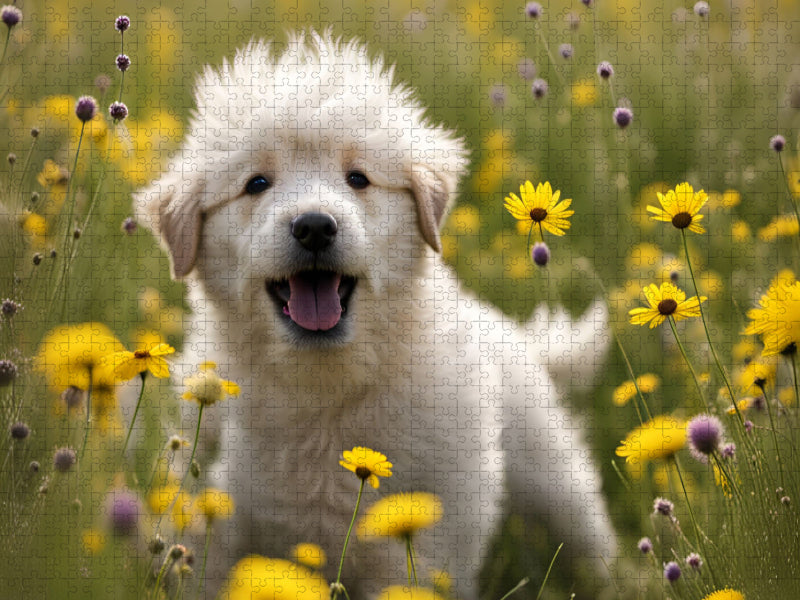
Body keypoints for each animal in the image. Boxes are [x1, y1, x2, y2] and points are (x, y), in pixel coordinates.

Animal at [138, 30, 616, 596]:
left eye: (358, 179)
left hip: (550, 469)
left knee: (588, 535)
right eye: (256, 184)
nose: (315, 226)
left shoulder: (426, 541)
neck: (325, 386)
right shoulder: (215, 534)